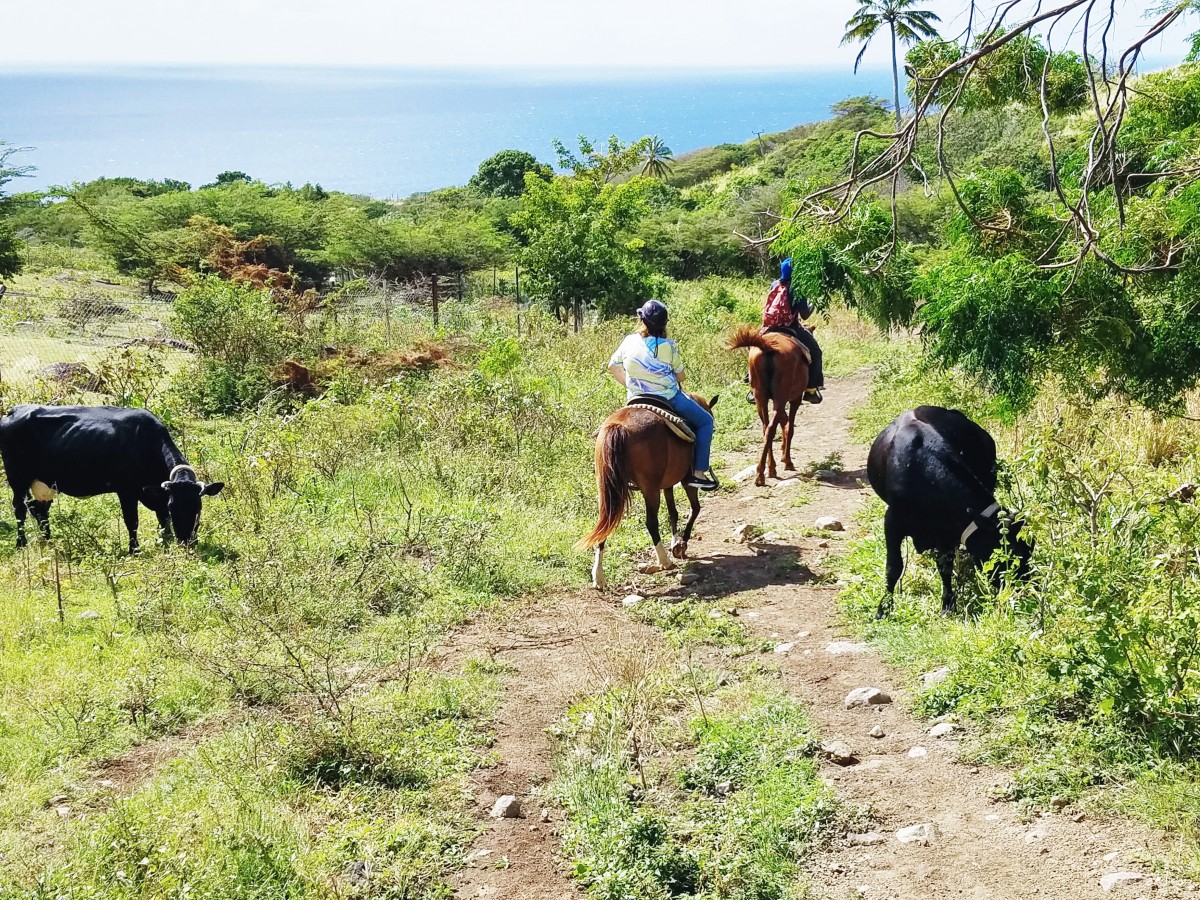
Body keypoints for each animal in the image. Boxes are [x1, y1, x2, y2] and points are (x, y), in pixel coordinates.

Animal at [0, 405, 224, 554]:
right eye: (173, 507)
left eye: (198, 507)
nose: (187, 542)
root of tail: (14, 410)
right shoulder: (127, 490)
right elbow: (132, 521)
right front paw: (134, 551)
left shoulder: (157, 493)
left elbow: (162, 520)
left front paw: (164, 542)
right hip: (17, 477)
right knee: (20, 508)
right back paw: (21, 544)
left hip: (44, 482)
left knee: (39, 509)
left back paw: (49, 542)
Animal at [576, 393, 715, 592]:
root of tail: (618, 426)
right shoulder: (686, 481)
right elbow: (694, 509)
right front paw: (681, 544)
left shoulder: (667, 484)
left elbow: (673, 513)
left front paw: (676, 543)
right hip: (650, 489)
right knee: (651, 523)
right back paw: (664, 561)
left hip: (605, 489)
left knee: (604, 523)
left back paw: (598, 577)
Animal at [724, 326, 811, 487]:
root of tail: (768, 347)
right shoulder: (795, 399)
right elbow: (789, 428)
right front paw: (787, 460)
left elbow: (783, 424)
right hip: (780, 398)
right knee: (771, 429)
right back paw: (763, 473)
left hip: (760, 398)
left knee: (766, 429)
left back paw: (767, 470)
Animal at [864, 408, 1032, 619]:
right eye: (1010, 555)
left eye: (1029, 550)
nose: (1026, 588)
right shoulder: (892, 521)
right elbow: (893, 567)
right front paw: (883, 609)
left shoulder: (947, 530)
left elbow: (945, 566)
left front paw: (947, 605)